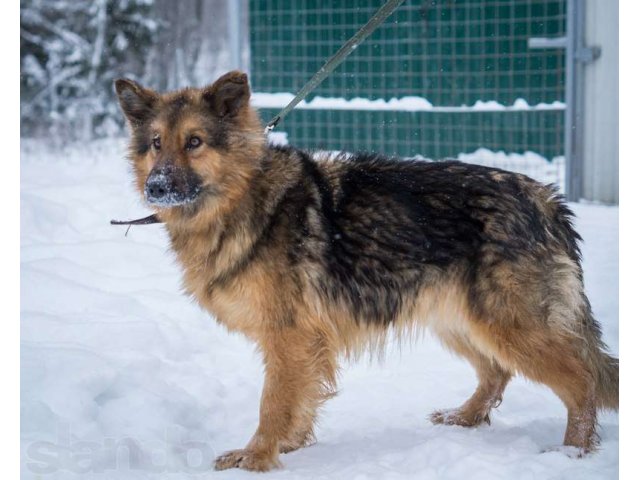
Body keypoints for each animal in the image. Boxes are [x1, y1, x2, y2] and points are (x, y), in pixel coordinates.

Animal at [116, 72, 620, 472]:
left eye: (195, 142)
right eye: (157, 143)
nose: (156, 186)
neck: (243, 198)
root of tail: (546, 199)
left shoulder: (288, 336)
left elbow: (273, 403)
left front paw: (257, 458)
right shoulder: (305, 343)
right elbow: (299, 400)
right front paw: (291, 445)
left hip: (509, 325)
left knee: (583, 382)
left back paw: (572, 452)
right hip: (459, 319)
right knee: (497, 373)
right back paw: (464, 418)